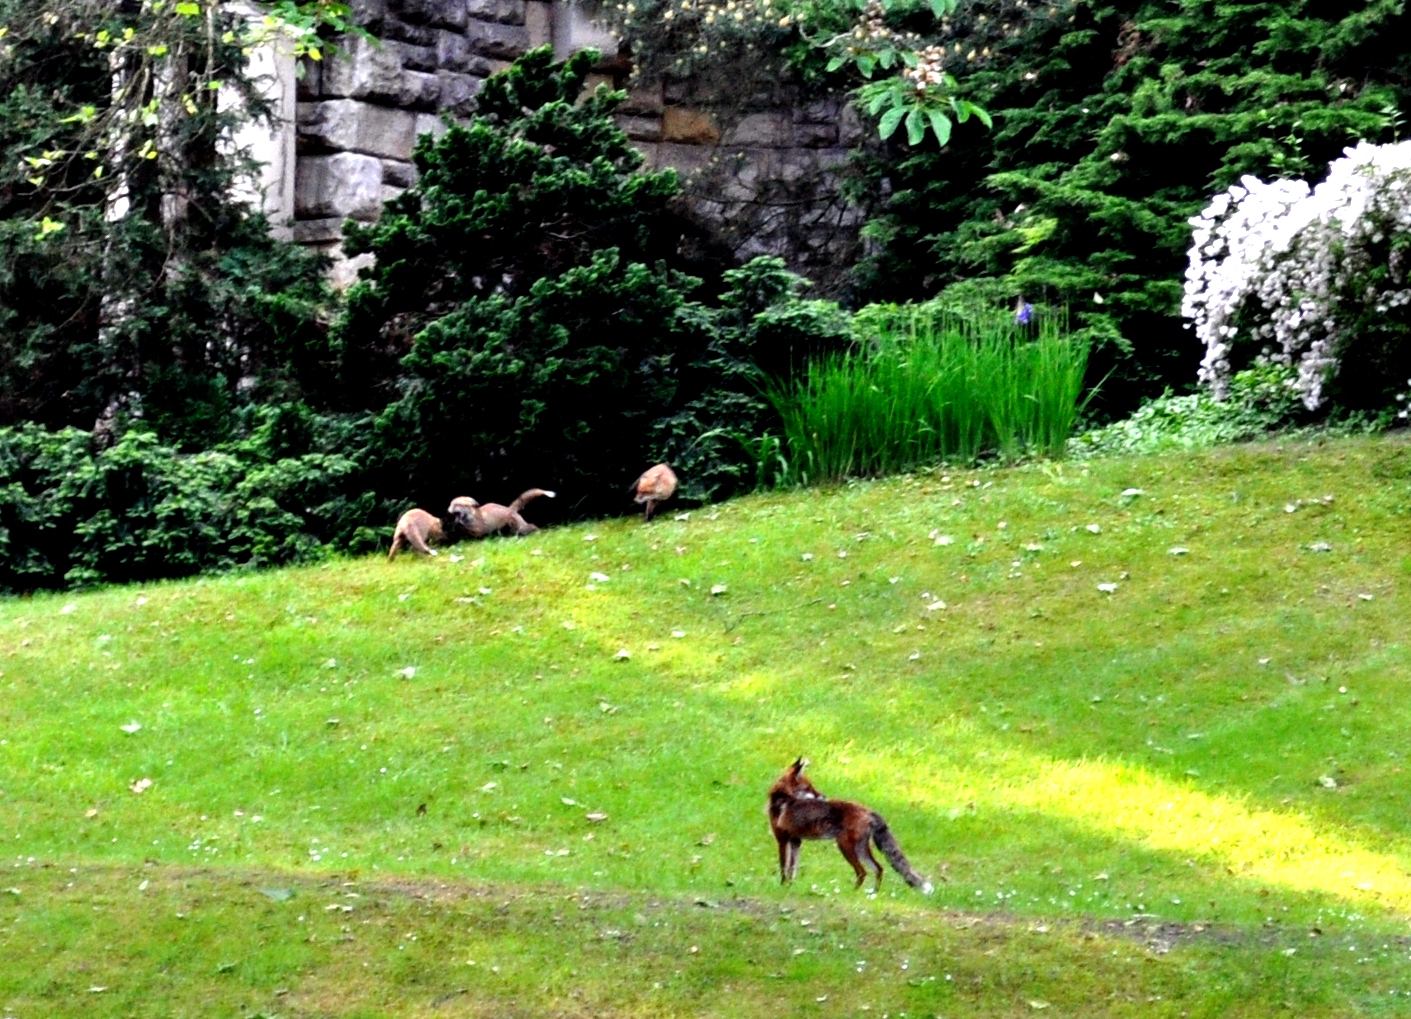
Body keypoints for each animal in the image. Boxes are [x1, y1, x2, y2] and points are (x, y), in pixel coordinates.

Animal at [767, 756, 931, 891]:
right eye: (808, 788)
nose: (823, 796)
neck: (783, 799)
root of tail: (868, 810)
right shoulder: (796, 841)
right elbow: (792, 869)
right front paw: (790, 885)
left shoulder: (782, 839)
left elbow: (783, 867)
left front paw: (782, 886)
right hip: (861, 849)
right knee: (879, 868)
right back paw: (872, 894)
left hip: (844, 845)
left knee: (862, 872)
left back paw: (853, 892)